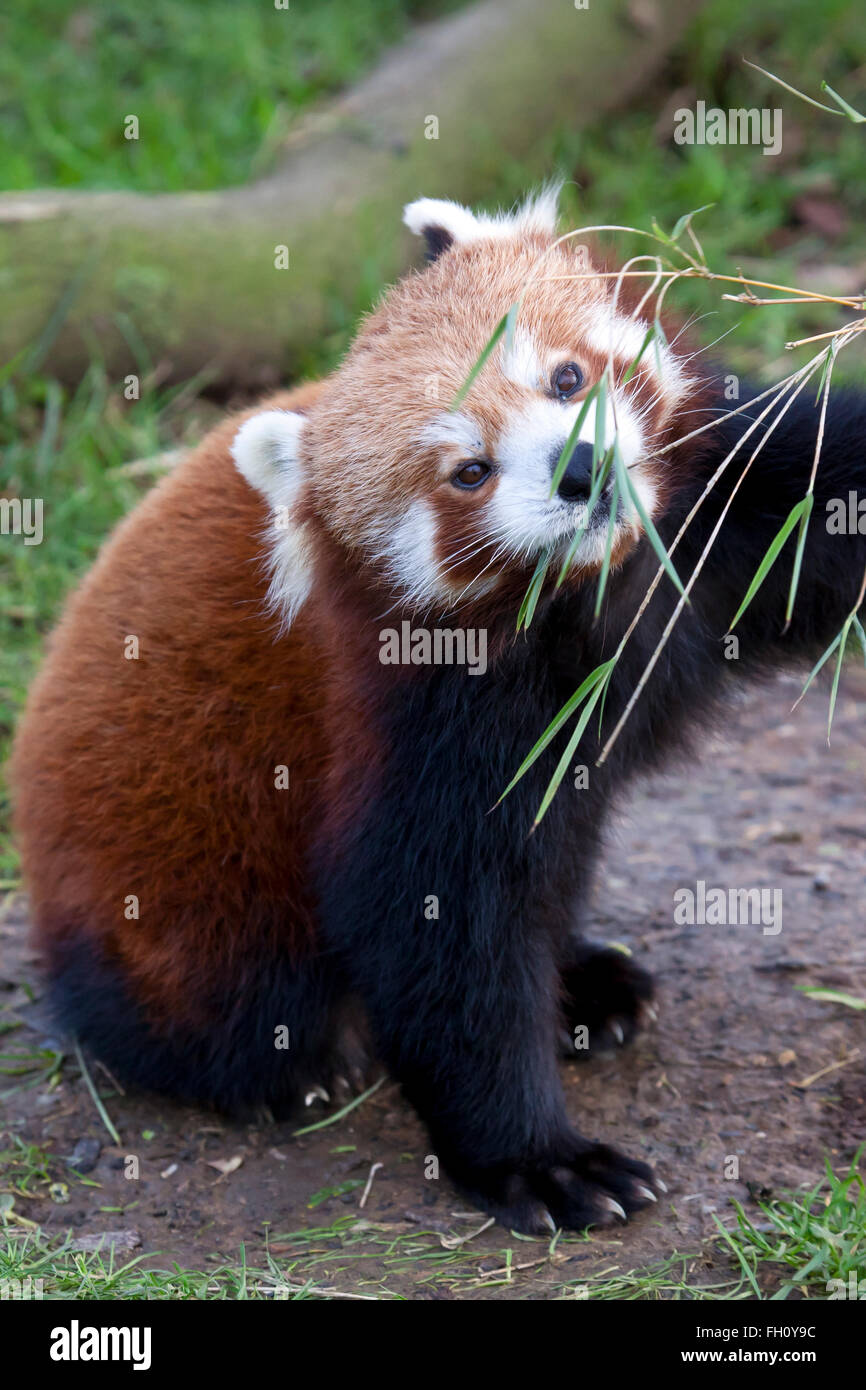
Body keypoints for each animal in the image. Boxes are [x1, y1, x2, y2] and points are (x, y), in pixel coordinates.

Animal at [8, 187, 866, 1239]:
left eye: (566, 376)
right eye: (470, 472)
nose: (582, 469)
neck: (602, 589)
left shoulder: (727, 507)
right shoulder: (412, 711)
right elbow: (440, 921)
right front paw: (535, 1160)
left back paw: (583, 982)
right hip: (166, 873)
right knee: (213, 985)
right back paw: (284, 1062)